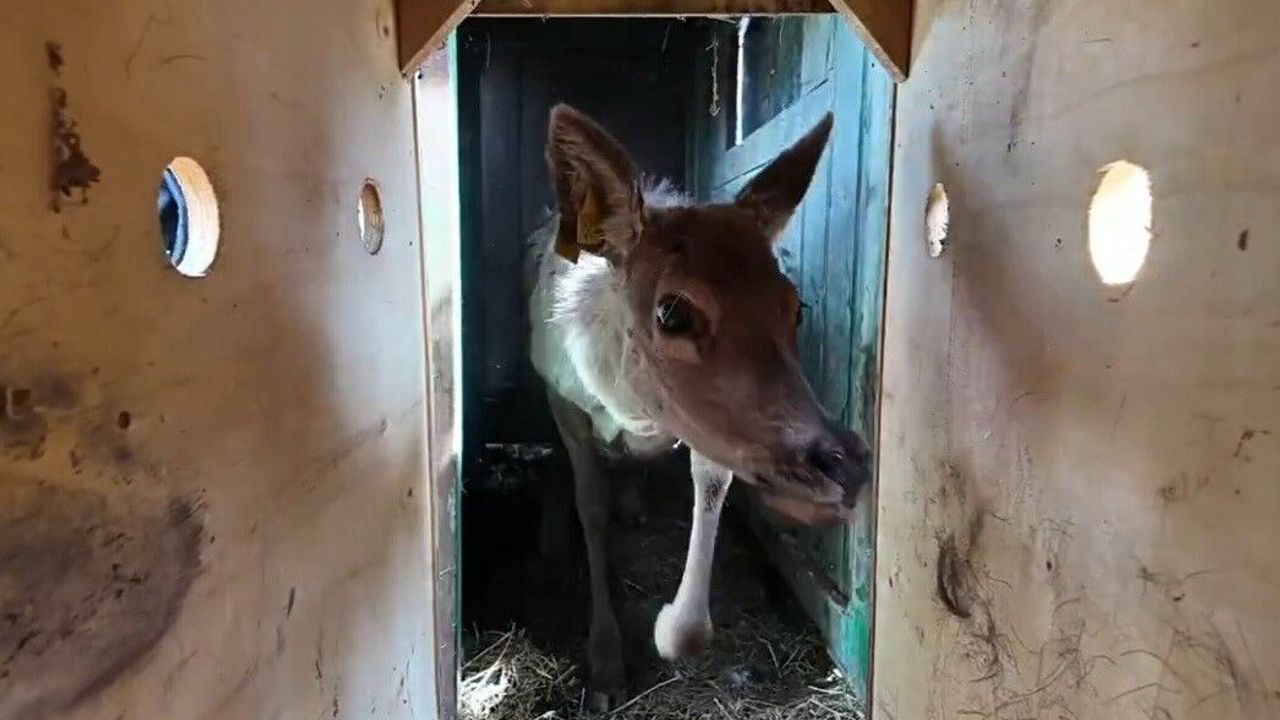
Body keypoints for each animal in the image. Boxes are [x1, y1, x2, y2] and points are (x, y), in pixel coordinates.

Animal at [525, 104, 871, 711]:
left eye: (796, 307)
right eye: (672, 312)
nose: (844, 466)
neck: (627, 405)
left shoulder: (703, 428)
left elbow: (712, 486)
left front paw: (671, 629)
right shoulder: (561, 398)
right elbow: (590, 505)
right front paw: (605, 667)